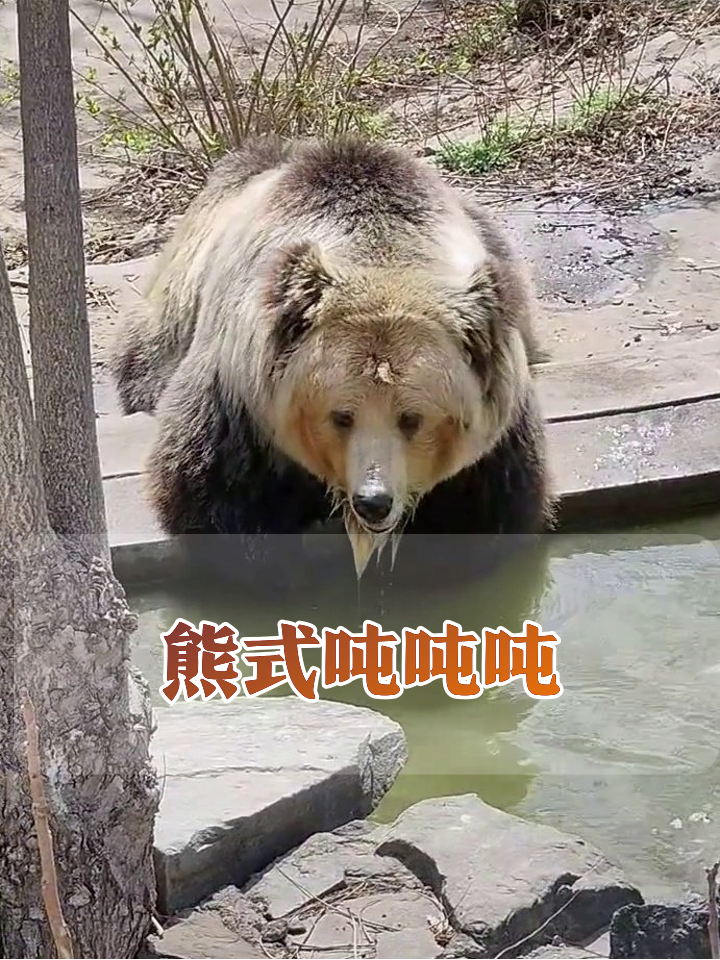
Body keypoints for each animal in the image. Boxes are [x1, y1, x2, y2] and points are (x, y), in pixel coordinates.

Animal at [110, 134, 555, 594]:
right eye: (341, 416)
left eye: (412, 419)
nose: (374, 502)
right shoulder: (238, 404)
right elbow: (215, 496)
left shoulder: (495, 433)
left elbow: (487, 511)